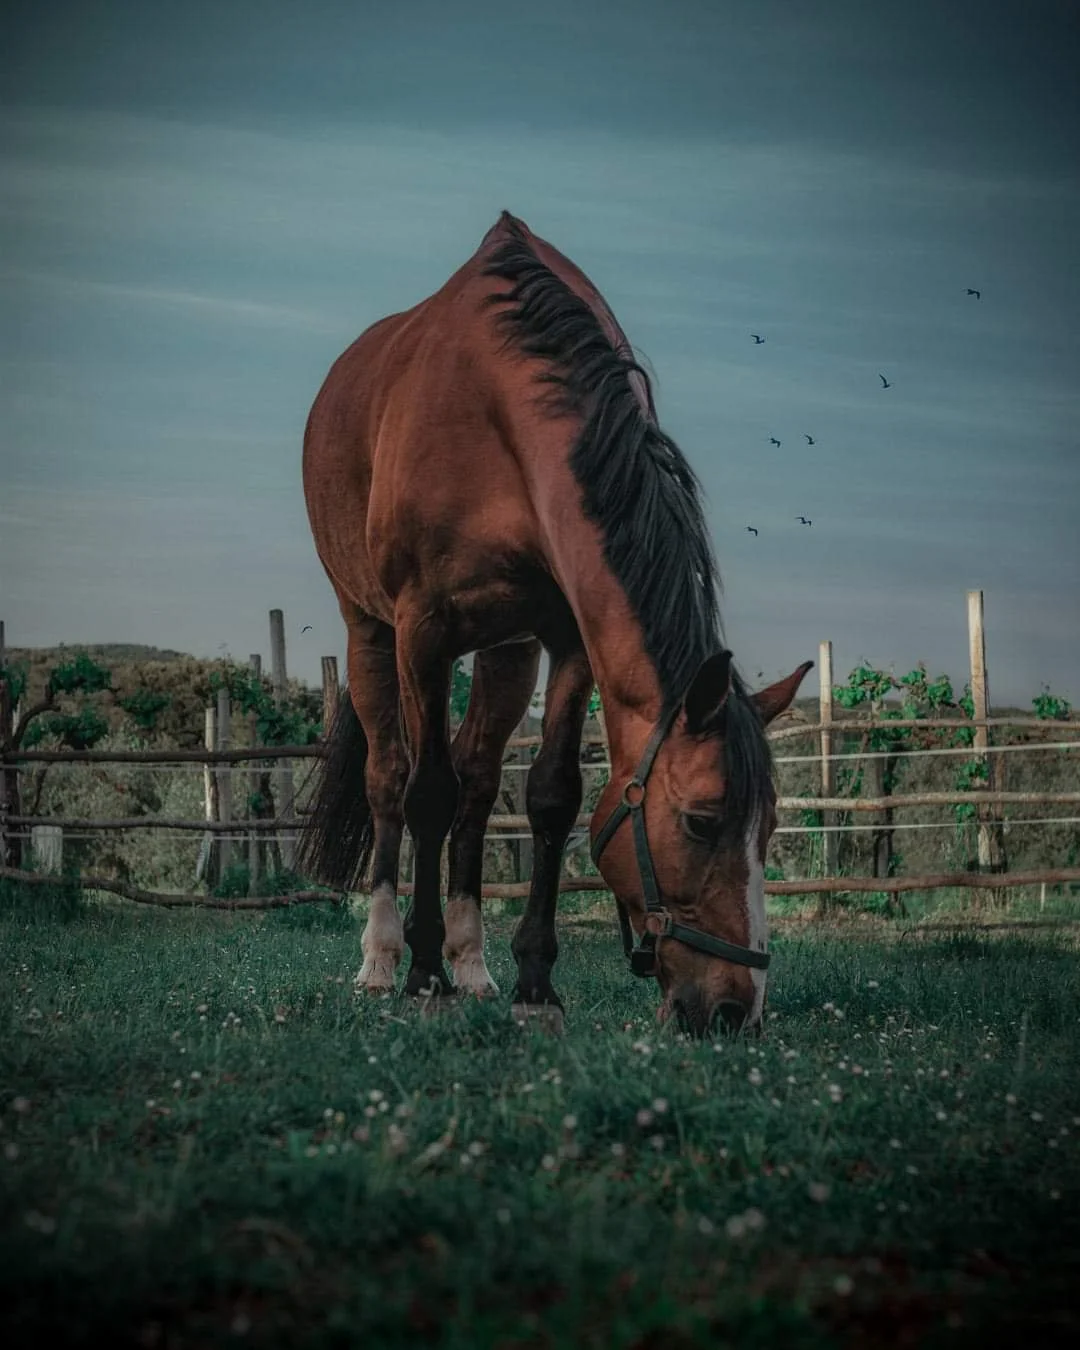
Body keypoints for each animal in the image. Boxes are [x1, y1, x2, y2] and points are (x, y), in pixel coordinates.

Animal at [299, 210, 812, 1037]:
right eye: (703, 821)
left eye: (767, 829)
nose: (738, 1011)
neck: (498, 414)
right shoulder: (422, 629)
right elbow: (426, 792)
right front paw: (421, 974)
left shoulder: (568, 638)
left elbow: (549, 796)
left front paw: (533, 982)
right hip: (369, 633)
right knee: (390, 779)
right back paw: (382, 960)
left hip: (507, 654)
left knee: (480, 785)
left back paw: (473, 966)